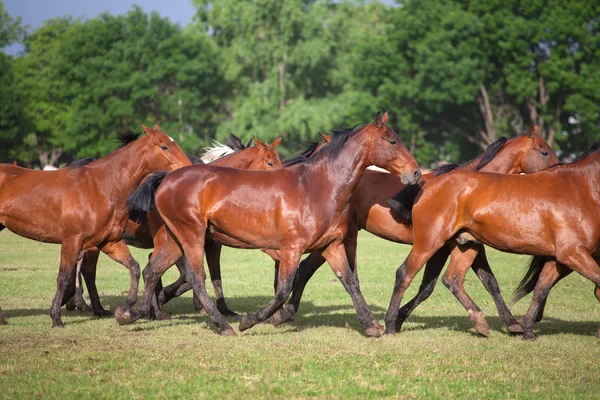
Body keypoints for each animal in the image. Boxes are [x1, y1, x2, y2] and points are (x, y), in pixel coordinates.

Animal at [0, 126, 190, 326]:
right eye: (164, 146)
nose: (187, 167)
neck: (100, 188)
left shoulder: (109, 241)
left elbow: (135, 268)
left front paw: (126, 310)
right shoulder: (72, 240)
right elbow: (63, 277)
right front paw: (56, 318)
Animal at [66, 136, 284, 318]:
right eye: (270, 162)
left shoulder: (208, 244)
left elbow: (210, 275)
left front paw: (216, 308)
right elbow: (189, 275)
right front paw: (165, 302)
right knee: (87, 270)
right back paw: (94, 307)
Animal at [120, 111, 422, 336]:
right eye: (392, 141)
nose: (416, 173)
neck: (317, 187)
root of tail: (167, 178)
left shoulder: (331, 246)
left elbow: (350, 282)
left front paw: (371, 325)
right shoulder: (291, 248)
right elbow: (283, 289)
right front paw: (250, 320)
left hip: (175, 239)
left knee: (152, 269)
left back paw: (132, 313)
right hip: (191, 236)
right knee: (194, 277)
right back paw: (223, 325)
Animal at [274, 126, 556, 338]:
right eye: (544, 151)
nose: (557, 170)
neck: (471, 186)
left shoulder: (454, 246)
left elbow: (466, 283)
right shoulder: (444, 245)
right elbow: (463, 283)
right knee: (307, 269)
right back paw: (285, 313)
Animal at [382, 139, 600, 340]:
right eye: (544, 152)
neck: (580, 188)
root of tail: (428, 184)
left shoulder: (559, 259)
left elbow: (540, 290)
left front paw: (526, 329)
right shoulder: (572, 253)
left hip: (465, 246)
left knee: (452, 279)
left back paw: (480, 322)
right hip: (429, 242)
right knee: (404, 274)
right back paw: (390, 325)